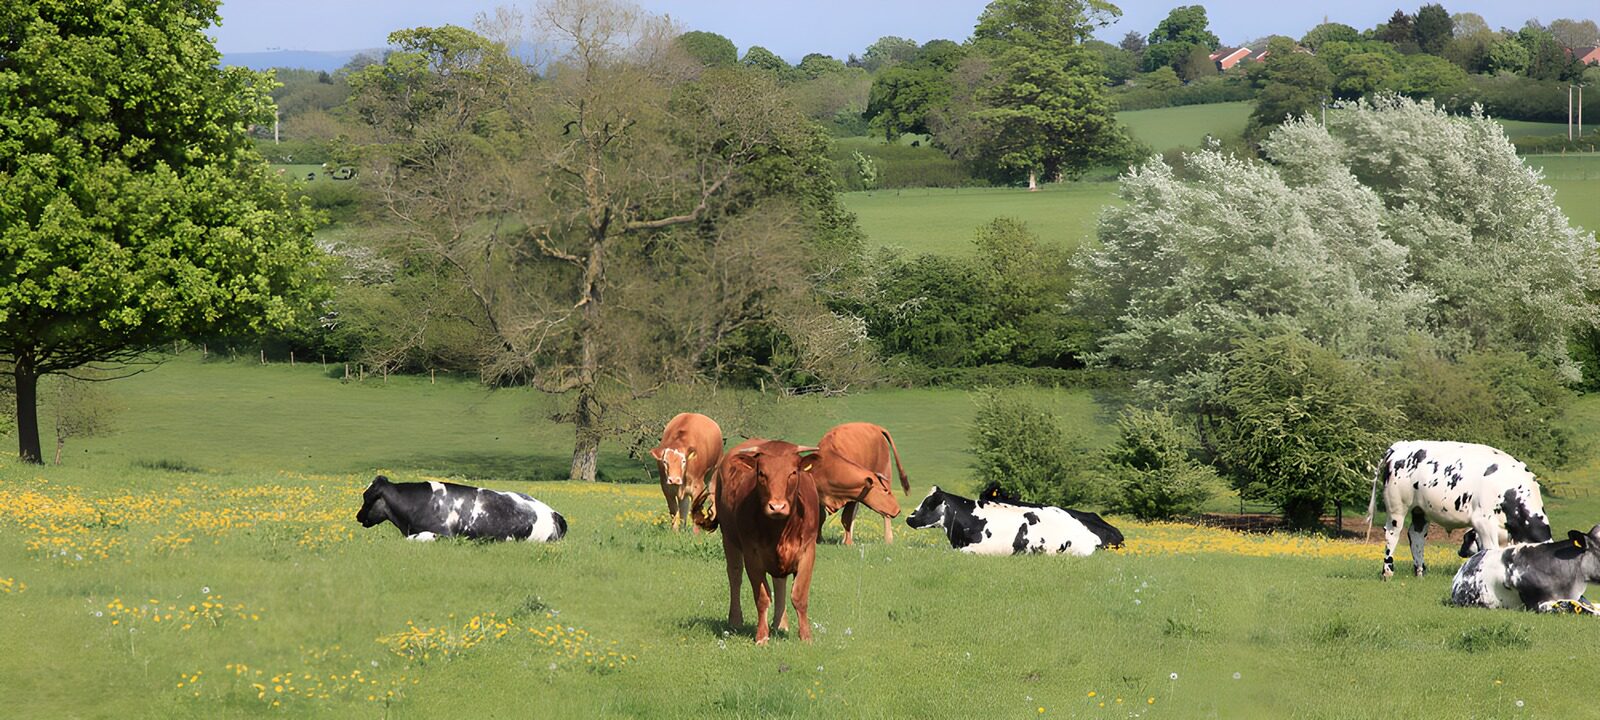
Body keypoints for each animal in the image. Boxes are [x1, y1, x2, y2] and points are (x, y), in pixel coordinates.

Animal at [690, 439, 898, 645]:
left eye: (793, 472)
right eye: (761, 473)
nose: (777, 506)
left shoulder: (807, 552)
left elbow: (799, 596)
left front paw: (805, 636)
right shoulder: (752, 554)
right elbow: (762, 597)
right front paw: (762, 636)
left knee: (779, 581)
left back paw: (781, 623)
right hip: (729, 538)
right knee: (735, 575)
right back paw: (735, 620)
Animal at [1367, 440, 1552, 580]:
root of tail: (1401, 445)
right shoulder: (1483, 523)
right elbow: (1490, 551)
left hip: (1420, 510)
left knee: (1416, 535)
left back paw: (1420, 572)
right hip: (1397, 507)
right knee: (1392, 534)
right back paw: (1388, 572)